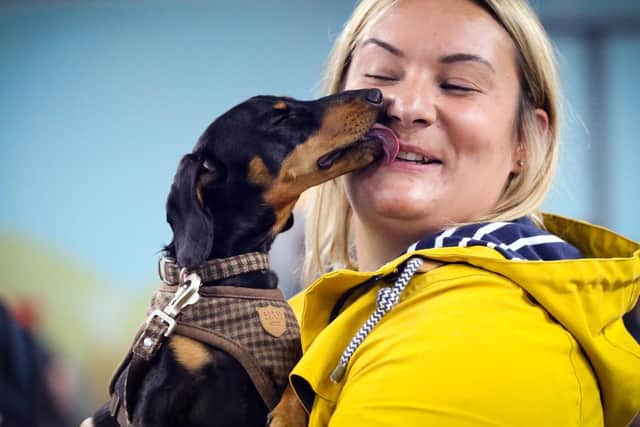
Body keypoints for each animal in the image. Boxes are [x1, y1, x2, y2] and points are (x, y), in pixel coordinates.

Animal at [82, 88, 398, 427]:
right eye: (279, 118)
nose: (377, 94)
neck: (232, 272)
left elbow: (297, 381)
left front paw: (287, 416)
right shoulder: (154, 397)